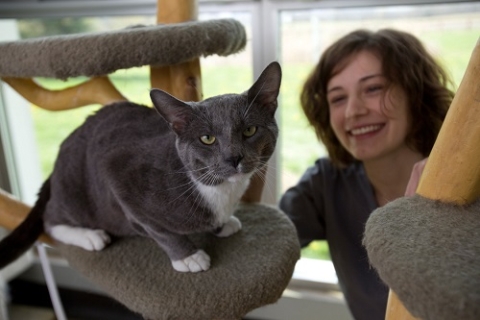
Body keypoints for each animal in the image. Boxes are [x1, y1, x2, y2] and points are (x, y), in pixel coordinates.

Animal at [0, 62, 284, 272]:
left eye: (250, 130)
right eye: (207, 138)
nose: (233, 157)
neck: (218, 189)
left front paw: (223, 225)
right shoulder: (116, 172)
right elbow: (160, 231)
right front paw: (188, 257)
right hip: (76, 191)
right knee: (50, 219)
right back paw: (91, 236)